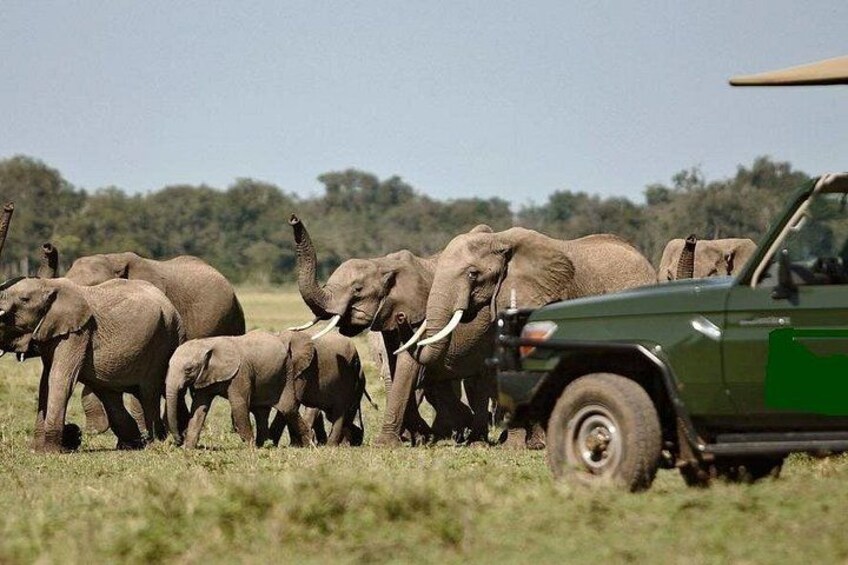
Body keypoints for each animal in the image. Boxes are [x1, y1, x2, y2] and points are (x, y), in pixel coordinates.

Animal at [0, 277, 185, 452]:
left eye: (24, 299)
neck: (49, 283)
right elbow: (45, 383)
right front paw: (36, 450)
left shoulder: (78, 333)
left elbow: (60, 379)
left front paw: (49, 451)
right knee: (110, 395)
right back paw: (133, 444)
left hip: (165, 338)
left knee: (148, 393)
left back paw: (156, 442)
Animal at [166, 330, 369, 449]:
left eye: (188, 369)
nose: (178, 440)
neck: (209, 343)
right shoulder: (207, 375)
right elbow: (199, 408)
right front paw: (188, 449)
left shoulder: (243, 373)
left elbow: (239, 405)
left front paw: (249, 448)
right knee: (263, 410)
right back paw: (267, 443)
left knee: (293, 408)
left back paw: (317, 444)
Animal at [289, 214, 479, 447]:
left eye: (357, 290)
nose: (293, 219)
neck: (382, 263)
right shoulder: (390, 315)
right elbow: (395, 360)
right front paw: (417, 437)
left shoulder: (420, 311)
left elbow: (409, 361)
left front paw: (389, 442)